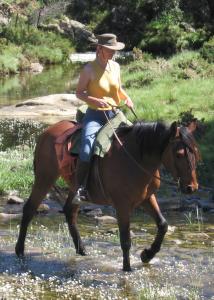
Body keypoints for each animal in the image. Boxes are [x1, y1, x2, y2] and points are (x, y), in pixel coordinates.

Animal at [14, 118, 199, 270]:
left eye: (196, 152)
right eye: (179, 154)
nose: (192, 187)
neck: (135, 158)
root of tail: (46, 133)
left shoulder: (146, 198)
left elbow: (163, 225)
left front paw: (147, 255)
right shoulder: (122, 205)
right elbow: (125, 240)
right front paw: (127, 269)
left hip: (73, 187)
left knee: (69, 212)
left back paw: (82, 250)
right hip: (44, 178)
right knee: (29, 209)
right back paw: (20, 251)